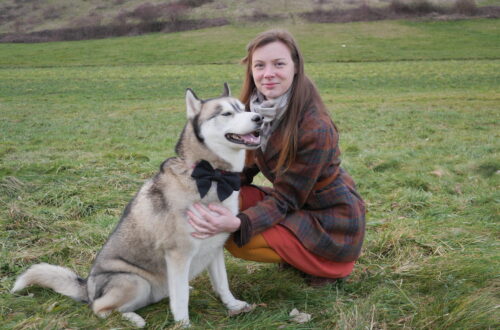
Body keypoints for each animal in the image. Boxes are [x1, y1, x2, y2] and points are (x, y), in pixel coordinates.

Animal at [11, 84, 264, 328]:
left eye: (243, 108)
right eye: (227, 113)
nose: (259, 118)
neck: (213, 176)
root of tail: (88, 289)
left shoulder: (214, 247)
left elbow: (222, 283)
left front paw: (233, 305)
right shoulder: (178, 254)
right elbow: (180, 298)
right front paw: (183, 324)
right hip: (135, 281)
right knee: (100, 309)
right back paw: (133, 318)